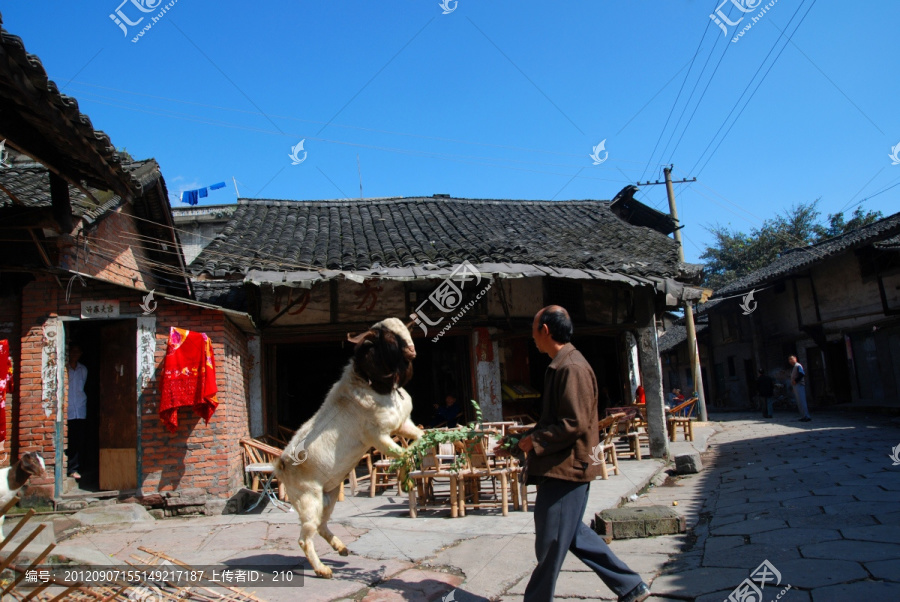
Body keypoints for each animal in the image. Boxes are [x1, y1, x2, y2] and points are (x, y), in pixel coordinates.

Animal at [272, 316, 424, 576]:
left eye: (406, 330)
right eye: (389, 338)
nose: (413, 351)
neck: (370, 384)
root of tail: (281, 465)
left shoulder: (403, 424)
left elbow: (421, 437)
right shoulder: (377, 436)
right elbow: (402, 453)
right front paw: (406, 478)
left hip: (329, 494)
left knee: (322, 525)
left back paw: (341, 549)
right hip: (308, 499)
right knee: (305, 537)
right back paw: (323, 570)